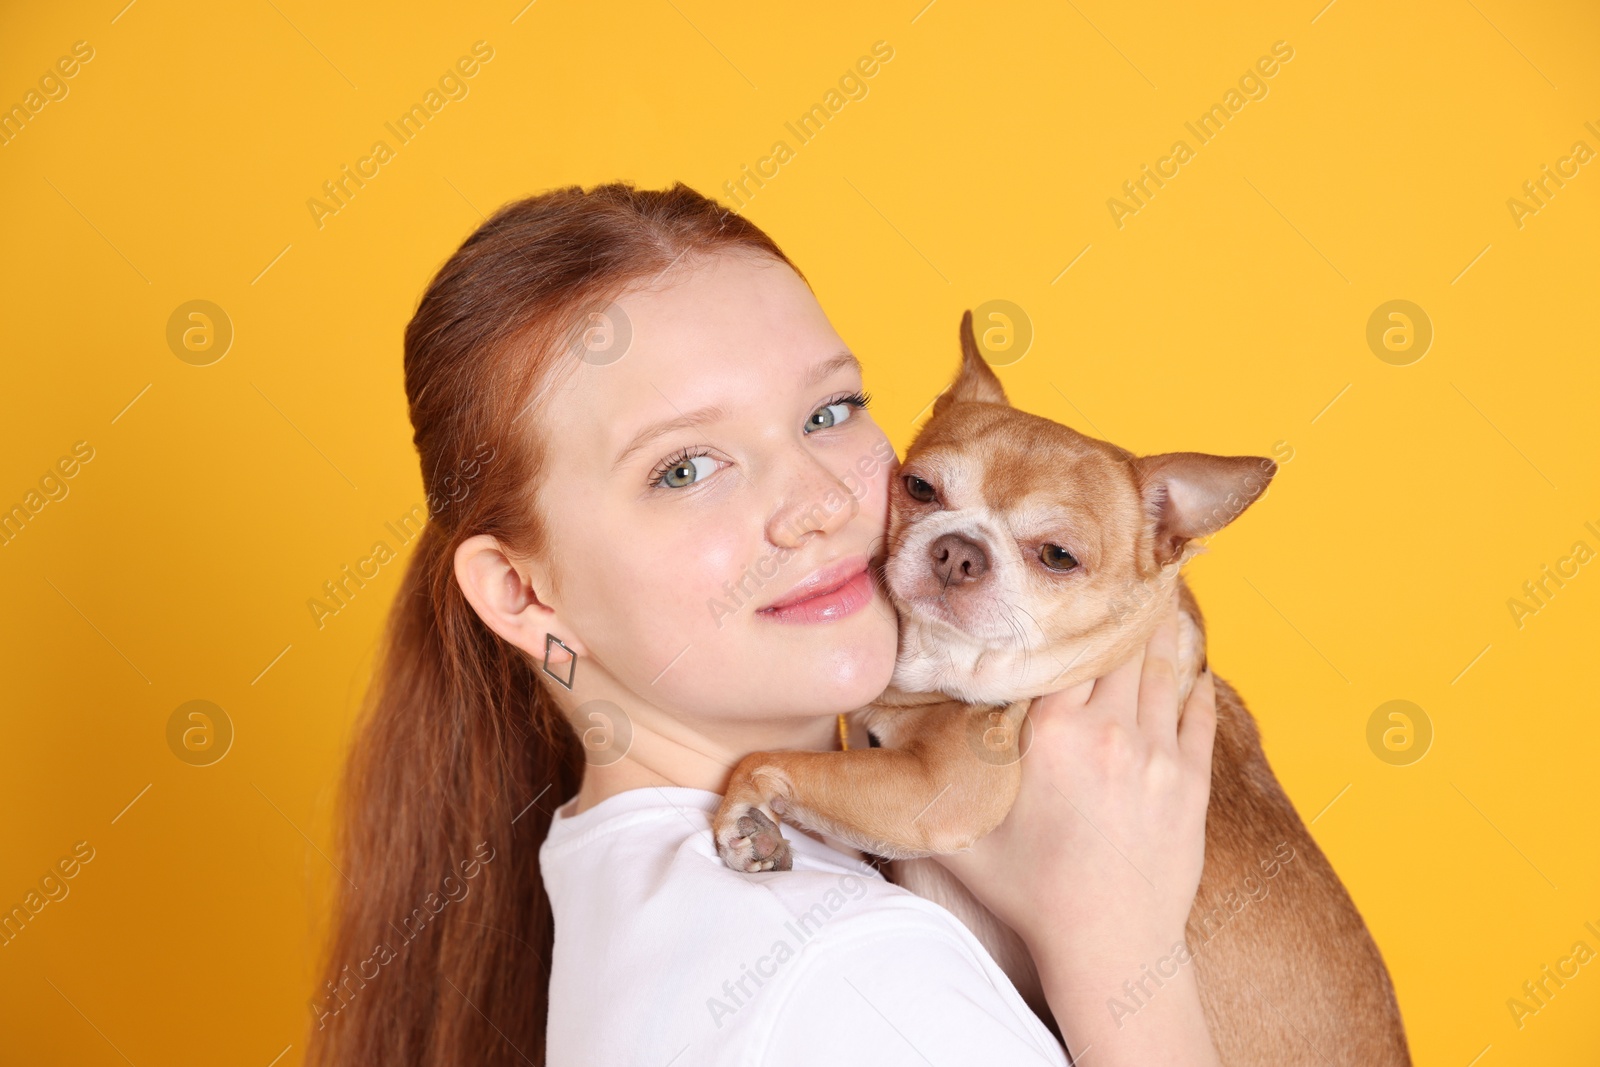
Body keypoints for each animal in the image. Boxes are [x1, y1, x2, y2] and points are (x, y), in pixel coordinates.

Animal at [710, 313, 1401, 1062]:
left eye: (1058, 556)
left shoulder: (941, 791)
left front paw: (745, 808)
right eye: (919, 488)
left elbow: (773, 761)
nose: (959, 550)